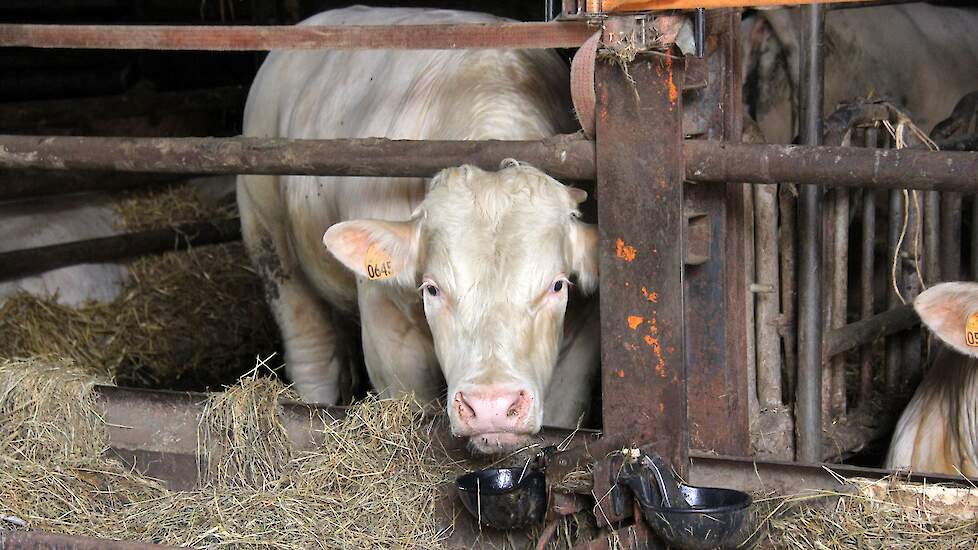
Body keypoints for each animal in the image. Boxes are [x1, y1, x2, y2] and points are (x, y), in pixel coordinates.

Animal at [238, 6, 604, 454]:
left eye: (556, 286)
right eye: (432, 289)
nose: (492, 407)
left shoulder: (582, 336)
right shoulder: (388, 330)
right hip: (270, 243)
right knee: (311, 351)